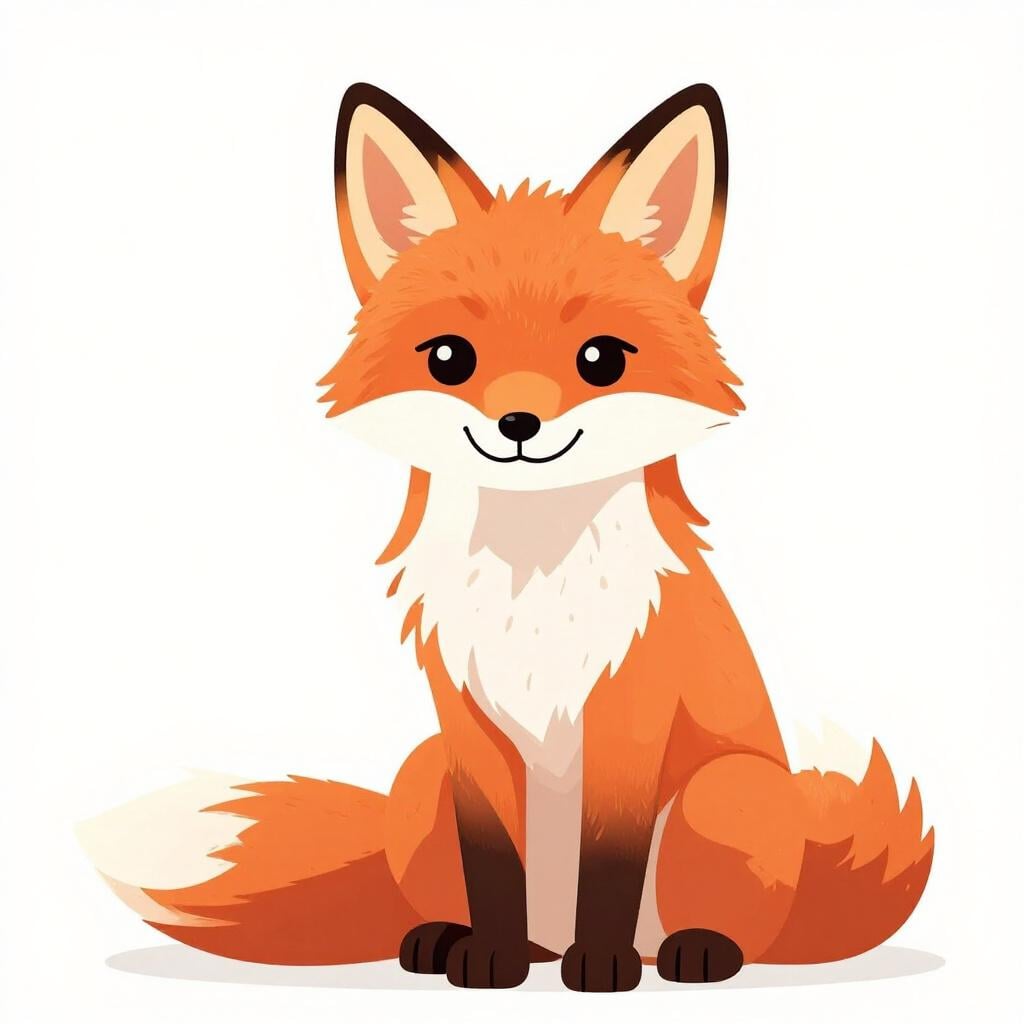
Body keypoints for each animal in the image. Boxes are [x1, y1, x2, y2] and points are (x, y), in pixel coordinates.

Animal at [78, 83, 933, 992]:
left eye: (602, 359)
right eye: (450, 357)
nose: (518, 423)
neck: (535, 573)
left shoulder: (627, 717)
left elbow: (611, 861)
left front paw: (603, 965)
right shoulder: (465, 730)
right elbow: (490, 863)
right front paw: (489, 957)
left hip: (725, 792)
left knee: (727, 926)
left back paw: (690, 950)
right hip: (421, 771)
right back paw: (457, 941)